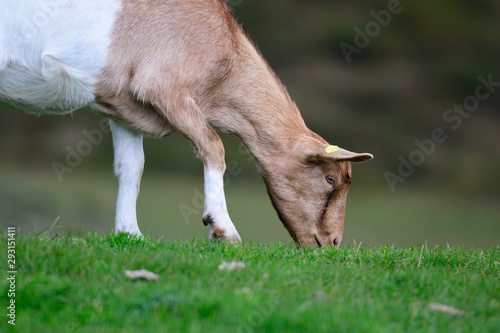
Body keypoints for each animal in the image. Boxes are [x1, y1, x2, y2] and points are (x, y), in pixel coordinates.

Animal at [0, 0, 372, 246]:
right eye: (329, 178)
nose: (332, 243)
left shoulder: (123, 107)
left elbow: (131, 167)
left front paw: (130, 233)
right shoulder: (163, 86)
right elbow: (213, 146)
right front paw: (222, 229)